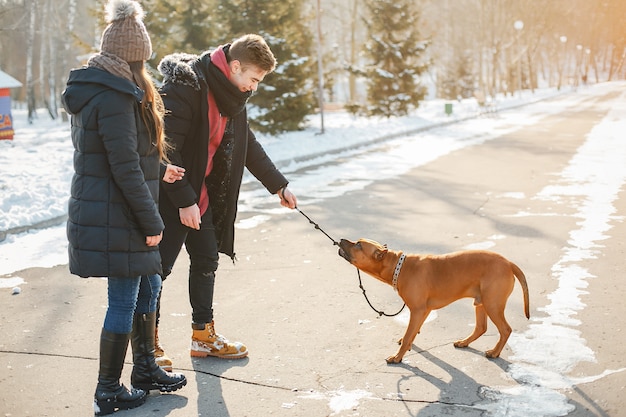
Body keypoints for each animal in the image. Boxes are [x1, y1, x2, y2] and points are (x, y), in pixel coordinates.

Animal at [336, 239, 528, 362]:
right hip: (481, 302)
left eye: (358, 244)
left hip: (492, 304)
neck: (398, 266)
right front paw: (407, 344)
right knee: (481, 327)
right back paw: (464, 342)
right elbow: (413, 332)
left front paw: (398, 357)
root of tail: (508, 263)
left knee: (505, 330)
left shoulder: (417, 310)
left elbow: (409, 334)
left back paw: (494, 352)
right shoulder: (424, 310)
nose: (340, 239)